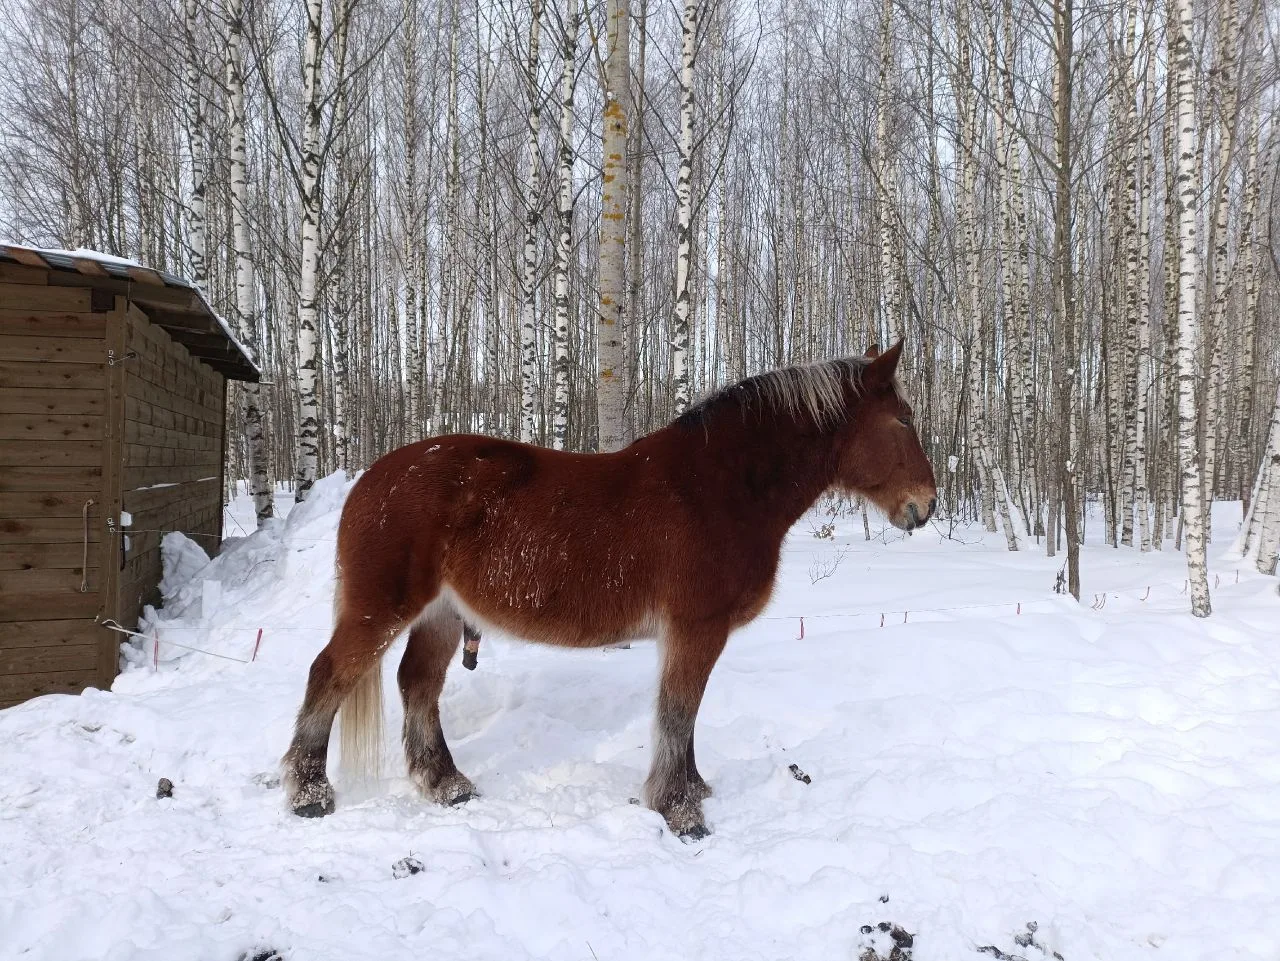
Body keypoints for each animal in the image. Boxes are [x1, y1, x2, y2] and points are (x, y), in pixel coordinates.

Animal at [282, 340, 937, 839]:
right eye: (903, 420)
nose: (925, 507)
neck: (716, 489)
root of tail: (372, 479)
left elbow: (685, 715)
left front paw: (694, 788)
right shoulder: (696, 628)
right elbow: (678, 710)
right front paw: (680, 811)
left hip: (441, 614)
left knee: (417, 685)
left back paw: (446, 784)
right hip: (382, 610)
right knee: (329, 674)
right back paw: (309, 793)